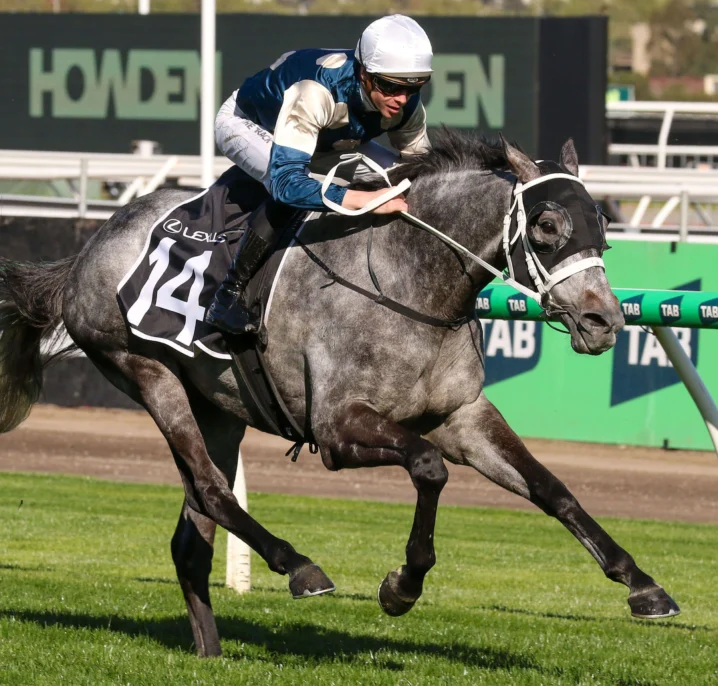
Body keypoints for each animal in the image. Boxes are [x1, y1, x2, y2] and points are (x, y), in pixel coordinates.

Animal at [0, 129, 680, 658]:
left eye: (603, 228)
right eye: (546, 225)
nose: (603, 321)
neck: (407, 280)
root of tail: (90, 247)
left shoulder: (462, 415)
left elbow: (551, 488)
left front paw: (642, 584)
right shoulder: (336, 429)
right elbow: (429, 468)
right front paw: (401, 586)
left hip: (217, 408)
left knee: (192, 534)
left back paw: (211, 650)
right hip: (146, 371)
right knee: (215, 492)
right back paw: (299, 567)